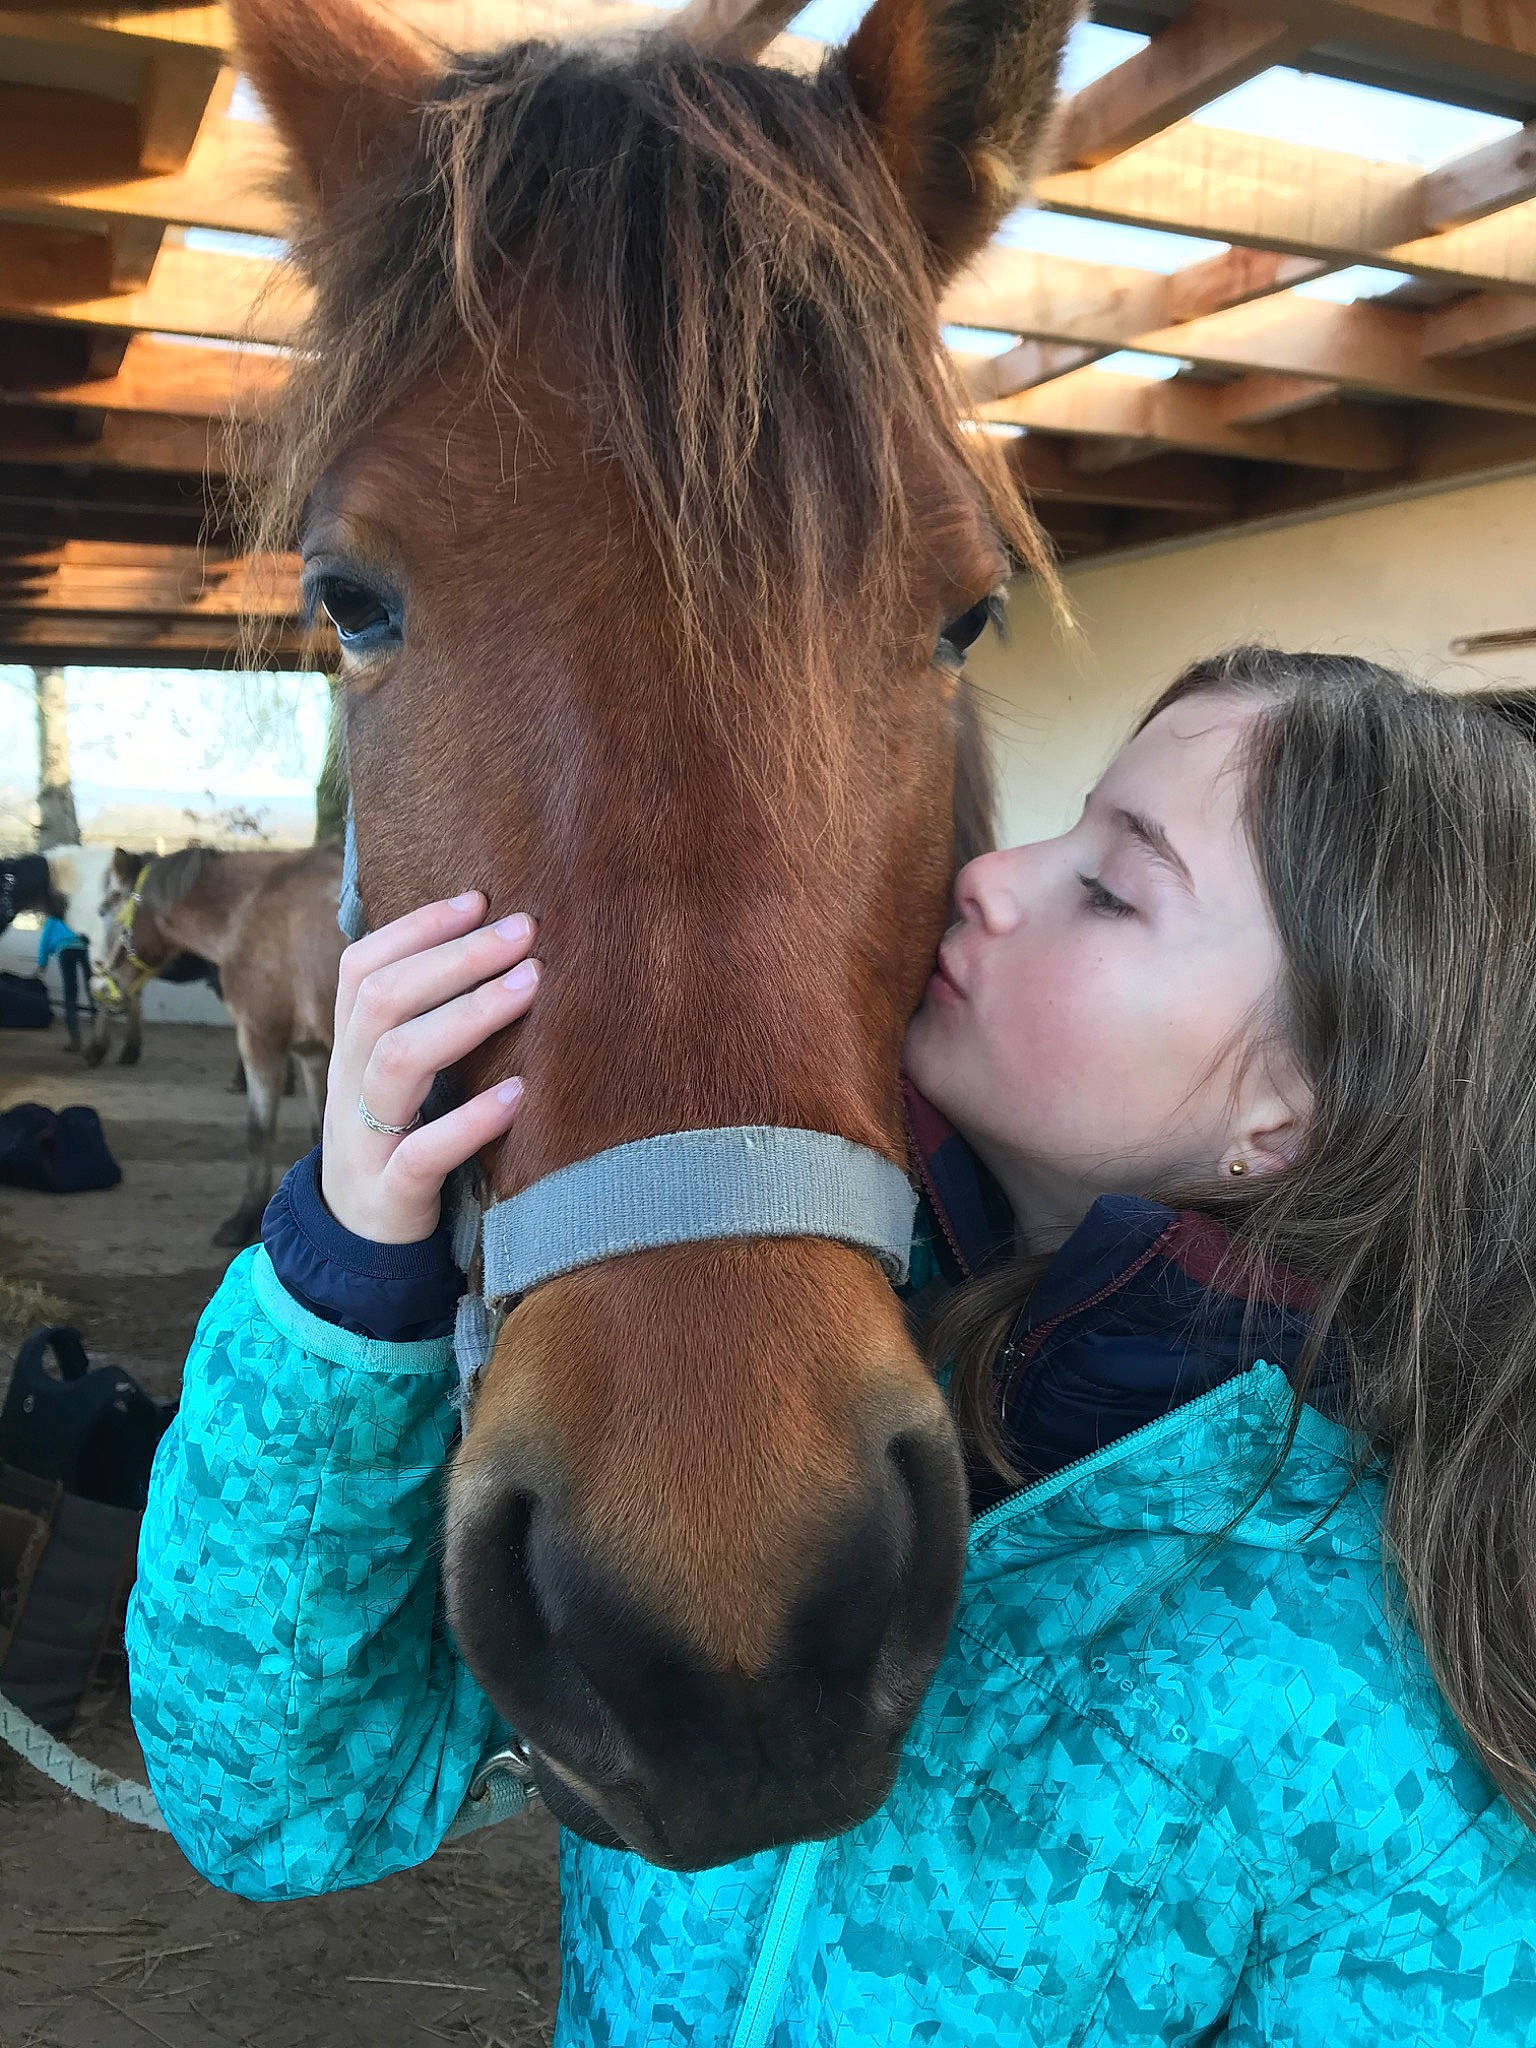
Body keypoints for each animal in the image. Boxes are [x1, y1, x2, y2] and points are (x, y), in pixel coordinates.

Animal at [95, 842, 346, 1246]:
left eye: (106, 909)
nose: (101, 986)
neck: (251, 909)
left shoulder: (259, 1038)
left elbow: (258, 1131)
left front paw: (244, 1218)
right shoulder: (312, 1053)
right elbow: (321, 1131)